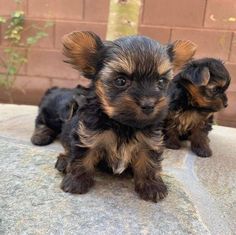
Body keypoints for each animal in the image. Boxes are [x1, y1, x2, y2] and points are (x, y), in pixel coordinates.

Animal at [52, 30, 197, 202]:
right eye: (121, 81)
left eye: (161, 82)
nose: (149, 104)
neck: (123, 124)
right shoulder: (88, 135)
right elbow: (82, 156)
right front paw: (76, 181)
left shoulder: (149, 141)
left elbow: (149, 162)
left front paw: (151, 185)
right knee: (68, 148)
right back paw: (63, 161)